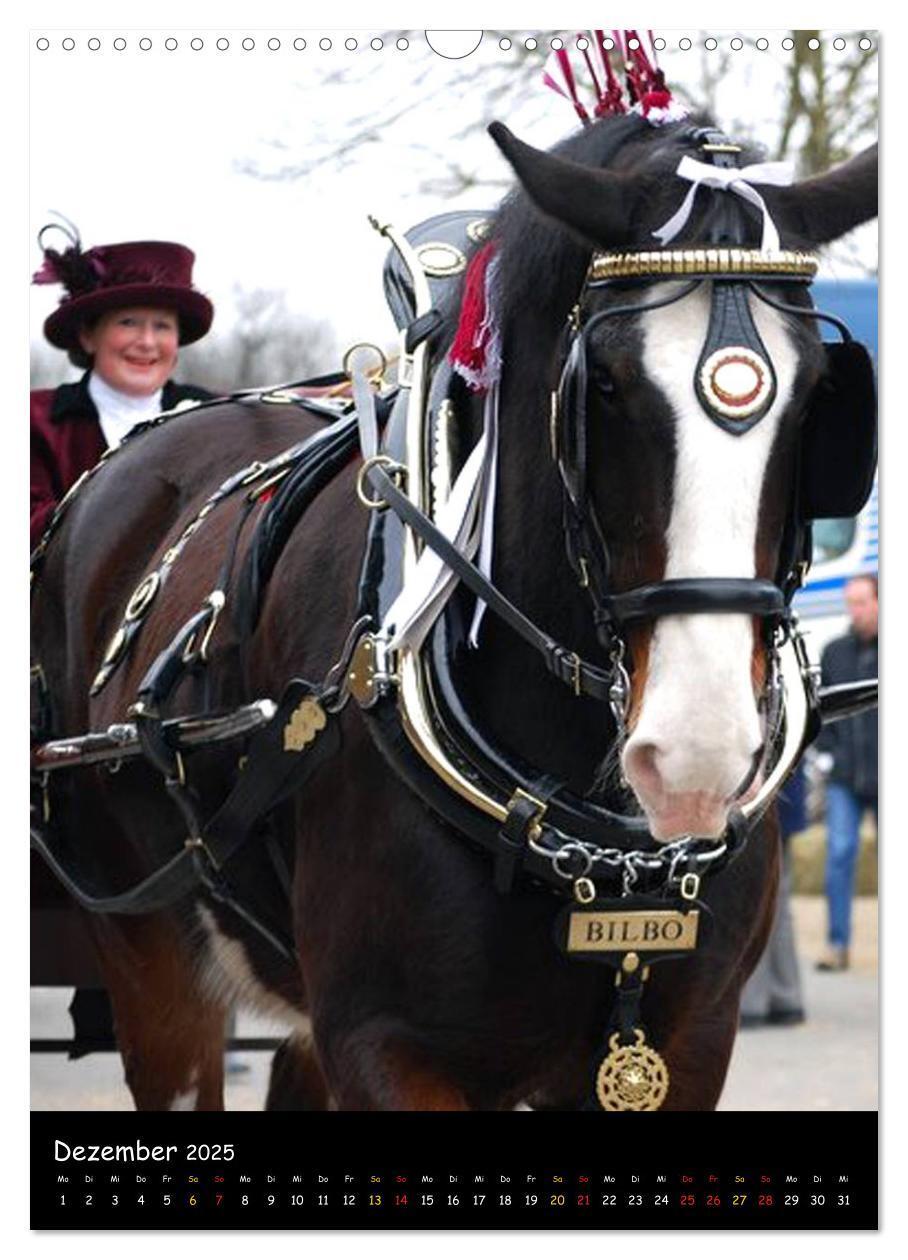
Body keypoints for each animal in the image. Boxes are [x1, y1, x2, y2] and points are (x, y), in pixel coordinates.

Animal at [31, 113, 876, 1108]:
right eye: (605, 384)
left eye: (822, 395)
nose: (698, 756)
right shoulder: (384, 1045)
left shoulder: (683, 1044)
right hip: (154, 969)